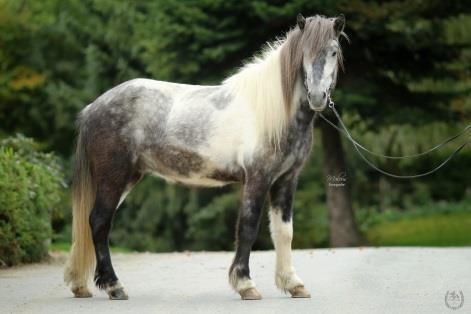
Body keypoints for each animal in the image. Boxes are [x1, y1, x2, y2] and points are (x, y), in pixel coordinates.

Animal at [63, 13, 346, 300]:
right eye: (304, 53)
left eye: (333, 52)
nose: (317, 97)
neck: (273, 113)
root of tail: (92, 108)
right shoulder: (257, 179)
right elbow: (247, 228)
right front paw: (245, 284)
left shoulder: (286, 180)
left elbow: (283, 232)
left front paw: (293, 283)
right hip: (114, 177)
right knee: (99, 222)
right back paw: (114, 286)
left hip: (126, 178)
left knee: (91, 222)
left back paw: (80, 285)